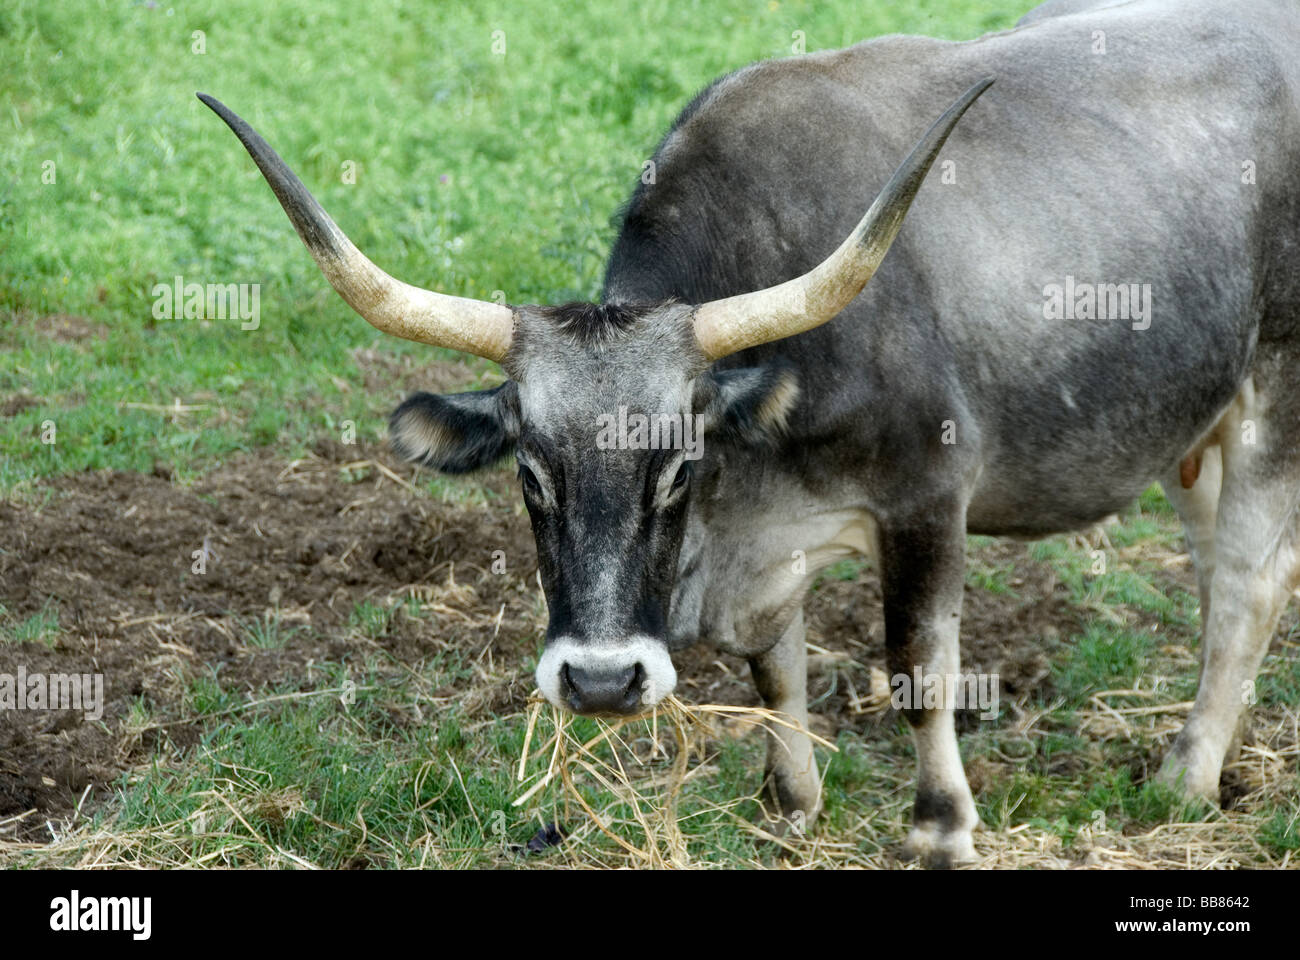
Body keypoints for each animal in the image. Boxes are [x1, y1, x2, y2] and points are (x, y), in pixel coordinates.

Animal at [200, 0, 1300, 866]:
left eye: (677, 468)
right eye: (531, 475)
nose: (601, 682)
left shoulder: (927, 495)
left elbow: (918, 666)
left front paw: (940, 825)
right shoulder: (771, 553)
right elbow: (775, 669)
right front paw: (792, 804)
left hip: (1272, 393)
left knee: (1249, 580)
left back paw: (1186, 776)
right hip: (1193, 424)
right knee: (1220, 577)